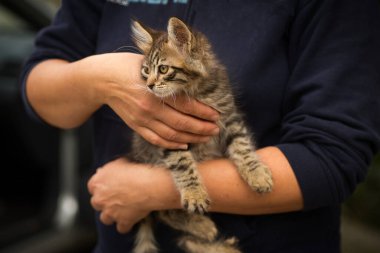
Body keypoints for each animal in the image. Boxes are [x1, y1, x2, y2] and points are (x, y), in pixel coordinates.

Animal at [128, 17, 274, 253]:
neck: (195, 91)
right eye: (145, 71)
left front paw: (257, 173)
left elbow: (242, 147)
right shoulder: (169, 133)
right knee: (164, 211)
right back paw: (203, 228)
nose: (149, 85)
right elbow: (182, 164)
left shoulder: (229, 117)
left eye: (163, 68)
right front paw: (194, 194)